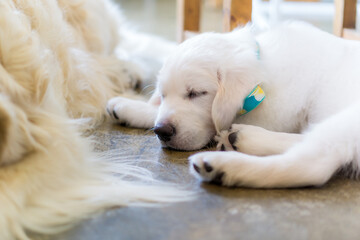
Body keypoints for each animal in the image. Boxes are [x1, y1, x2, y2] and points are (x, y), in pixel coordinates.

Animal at [108, 21, 360, 188]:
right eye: (163, 93)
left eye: (197, 93)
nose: (162, 131)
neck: (263, 67)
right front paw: (129, 107)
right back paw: (240, 139)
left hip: (348, 119)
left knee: (313, 164)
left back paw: (223, 165)